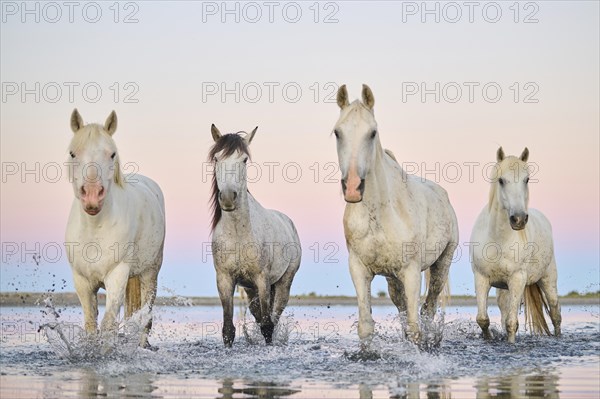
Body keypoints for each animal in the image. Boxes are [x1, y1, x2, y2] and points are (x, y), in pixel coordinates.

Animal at [65, 110, 166, 350]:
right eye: (73, 153)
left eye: (112, 154)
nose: (92, 195)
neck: (94, 229)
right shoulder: (82, 282)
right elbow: (91, 324)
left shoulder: (117, 275)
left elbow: (109, 324)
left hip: (150, 274)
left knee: (145, 315)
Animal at [210, 125, 302, 346]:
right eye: (216, 158)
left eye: (244, 160)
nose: (228, 197)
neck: (238, 233)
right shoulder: (225, 280)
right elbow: (228, 329)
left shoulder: (262, 279)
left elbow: (268, 326)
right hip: (250, 289)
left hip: (283, 282)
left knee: (274, 315)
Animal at [332, 85, 460, 346]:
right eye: (337, 133)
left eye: (372, 133)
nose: (352, 188)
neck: (379, 214)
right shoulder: (359, 269)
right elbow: (366, 326)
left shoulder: (411, 272)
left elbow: (414, 327)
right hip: (393, 278)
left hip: (442, 264)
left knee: (428, 309)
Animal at [472, 147, 560, 344]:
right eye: (501, 180)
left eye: (526, 179)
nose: (519, 219)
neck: (498, 240)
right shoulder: (481, 278)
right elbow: (483, 320)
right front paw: (488, 339)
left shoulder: (517, 279)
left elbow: (512, 324)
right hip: (503, 290)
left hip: (548, 279)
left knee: (555, 313)